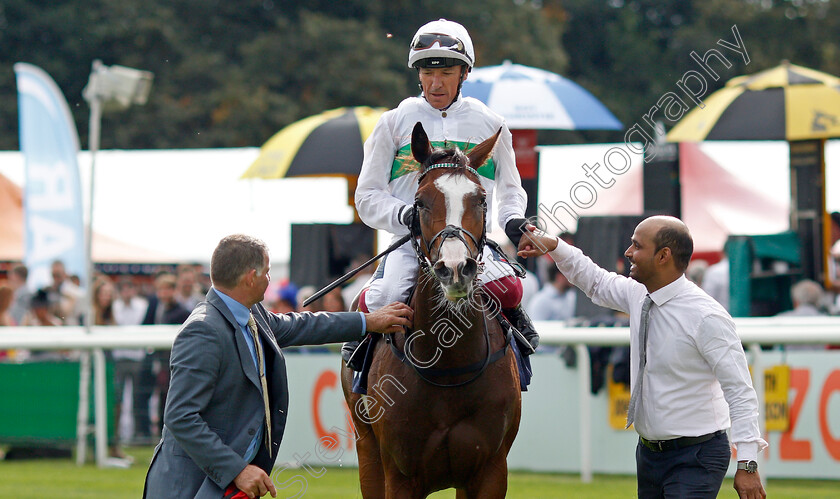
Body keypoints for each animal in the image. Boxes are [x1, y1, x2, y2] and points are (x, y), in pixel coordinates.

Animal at [340, 122, 520, 499]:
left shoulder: (490, 470)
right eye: (420, 202)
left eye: (481, 200)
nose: (454, 269)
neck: (450, 366)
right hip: (366, 449)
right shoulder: (401, 474)